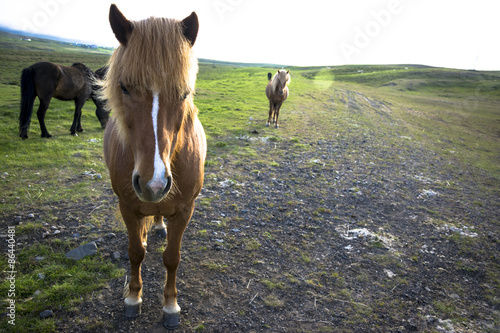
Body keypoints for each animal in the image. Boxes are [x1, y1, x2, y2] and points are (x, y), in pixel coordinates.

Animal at [101, 3, 205, 328]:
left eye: (185, 93)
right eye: (124, 87)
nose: (153, 183)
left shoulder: (185, 210)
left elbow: (172, 257)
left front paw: (170, 305)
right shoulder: (127, 206)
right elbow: (135, 252)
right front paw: (133, 297)